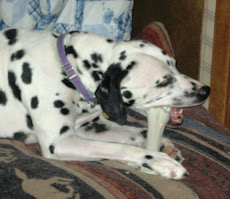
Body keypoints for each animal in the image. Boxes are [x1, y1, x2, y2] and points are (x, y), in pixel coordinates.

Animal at [0, 28, 210, 180]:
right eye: (164, 81)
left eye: (175, 64)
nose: (205, 90)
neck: (68, 67)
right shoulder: (59, 143)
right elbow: (120, 148)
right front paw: (160, 161)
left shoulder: (89, 125)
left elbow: (132, 133)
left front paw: (163, 145)